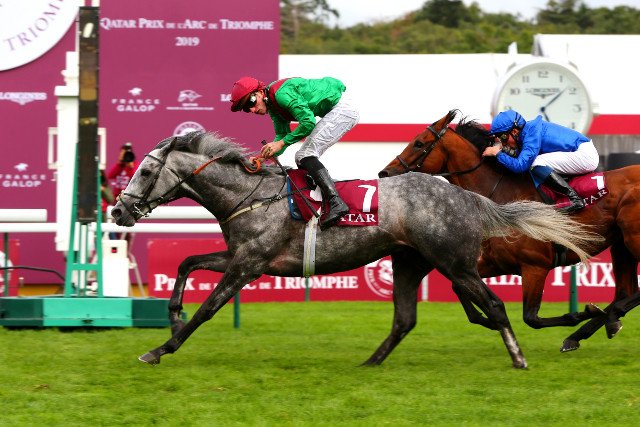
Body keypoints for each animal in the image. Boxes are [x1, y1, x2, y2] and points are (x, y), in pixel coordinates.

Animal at [111, 130, 599, 369]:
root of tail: (464, 196)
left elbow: (208, 309)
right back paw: (370, 362)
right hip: (410, 262)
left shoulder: (248, 265)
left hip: (455, 263)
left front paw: (161, 348)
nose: (118, 210)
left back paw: (520, 356)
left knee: (495, 306)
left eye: (146, 171)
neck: (250, 194)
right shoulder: (241, 257)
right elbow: (186, 261)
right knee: (405, 319)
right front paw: (172, 314)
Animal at [378, 110, 640, 352]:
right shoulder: (498, 262)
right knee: (626, 292)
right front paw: (489, 320)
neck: (501, 199)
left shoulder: (535, 266)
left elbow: (532, 318)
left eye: (419, 143)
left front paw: (580, 313)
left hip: (632, 240)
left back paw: (602, 322)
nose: (384, 173)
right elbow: (458, 287)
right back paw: (596, 327)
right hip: (621, 246)